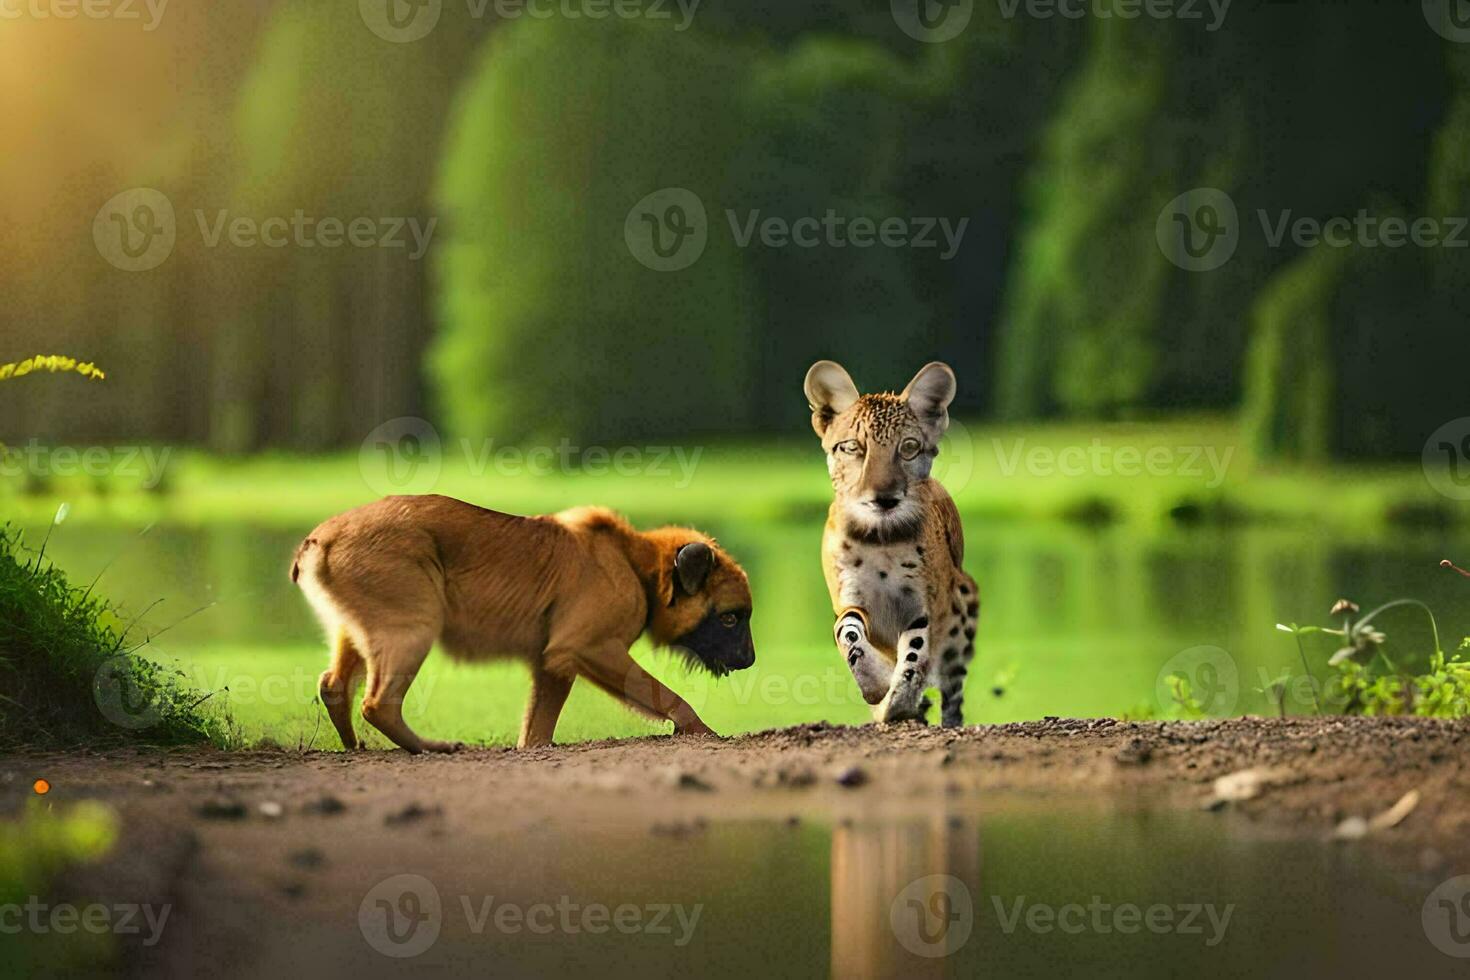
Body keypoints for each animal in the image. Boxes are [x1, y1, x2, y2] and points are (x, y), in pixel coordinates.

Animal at [289, 493, 758, 758]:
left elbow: (537, 729)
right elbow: (668, 697)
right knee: (378, 703)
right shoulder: (588, 648)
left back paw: (353, 745)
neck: (633, 562)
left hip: (355, 631)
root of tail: (320, 539)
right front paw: (704, 734)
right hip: (413, 627)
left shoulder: (552, 664)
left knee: (335, 686)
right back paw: (427, 747)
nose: (751, 660)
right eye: (730, 617)